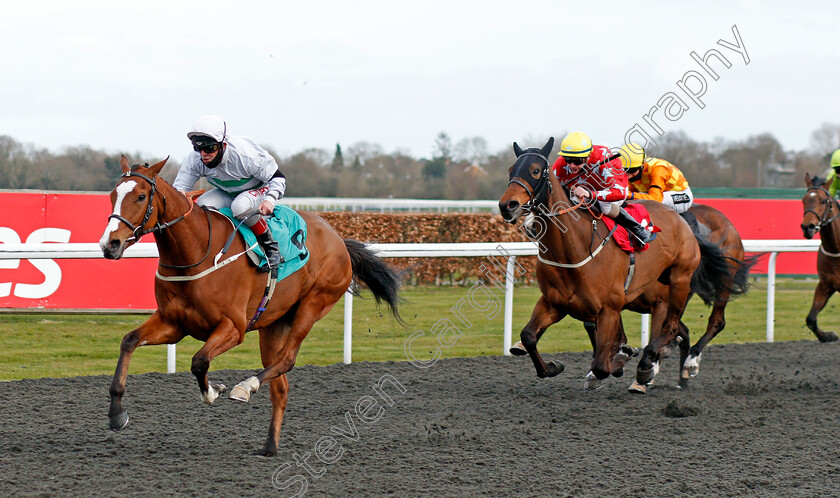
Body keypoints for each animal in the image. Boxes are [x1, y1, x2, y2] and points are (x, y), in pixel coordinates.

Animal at [101, 156, 404, 456]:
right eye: (113, 195)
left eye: (141, 196)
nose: (110, 244)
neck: (197, 251)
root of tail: (338, 238)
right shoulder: (173, 323)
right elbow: (129, 341)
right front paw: (116, 414)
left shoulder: (233, 327)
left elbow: (200, 361)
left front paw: (215, 390)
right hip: (273, 324)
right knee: (280, 385)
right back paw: (270, 445)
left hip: (315, 303)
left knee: (287, 359)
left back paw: (246, 387)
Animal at [498, 138, 704, 388]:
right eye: (511, 170)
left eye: (535, 170)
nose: (507, 205)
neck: (572, 250)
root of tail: (681, 220)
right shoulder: (554, 303)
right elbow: (528, 337)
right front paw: (553, 366)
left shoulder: (609, 308)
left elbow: (601, 366)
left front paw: (620, 361)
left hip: (678, 283)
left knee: (671, 327)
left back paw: (650, 367)